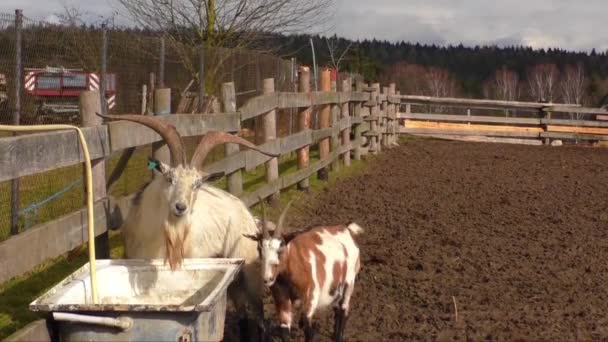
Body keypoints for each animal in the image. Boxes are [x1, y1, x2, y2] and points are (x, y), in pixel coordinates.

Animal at [99, 113, 278, 340]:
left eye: (197, 184)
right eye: (169, 178)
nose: (180, 207)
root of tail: (246, 214)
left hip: (250, 270)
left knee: (258, 312)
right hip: (235, 280)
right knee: (243, 314)